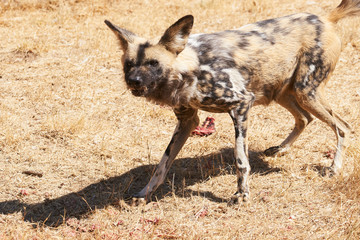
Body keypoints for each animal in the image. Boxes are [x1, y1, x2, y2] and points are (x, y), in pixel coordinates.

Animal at [106, 0, 360, 203]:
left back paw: (334, 168)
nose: (133, 80)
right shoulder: (188, 121)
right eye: (129, 64)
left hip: (306, 92)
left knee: (343, 127)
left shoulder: (241, 105)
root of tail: (325, 18)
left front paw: (242, 195)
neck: (190, 69)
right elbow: (162, 165)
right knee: (304, 119)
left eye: (153, 63)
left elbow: (241, 160)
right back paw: (279, 149)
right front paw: (145, 193)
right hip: (283, 93)